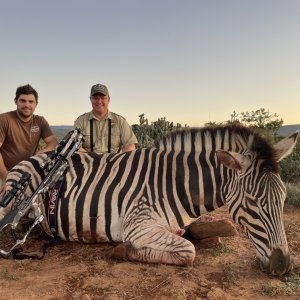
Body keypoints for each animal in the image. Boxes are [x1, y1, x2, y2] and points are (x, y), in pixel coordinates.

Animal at [0, 125, 298, 276]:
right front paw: (122, 250)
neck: (174, 184)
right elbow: (189, 252)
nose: (283, 267)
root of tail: (33, 157)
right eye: (252, 202)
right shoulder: (139, 224)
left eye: (283, 199)